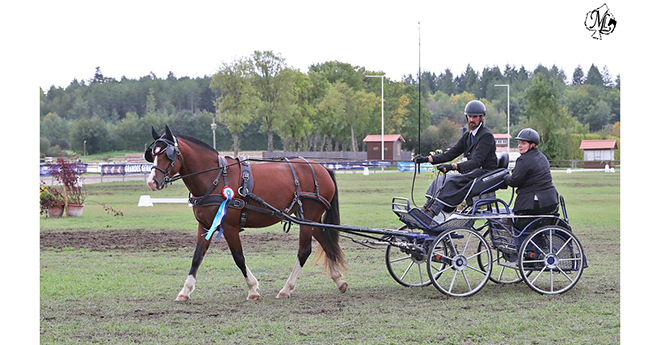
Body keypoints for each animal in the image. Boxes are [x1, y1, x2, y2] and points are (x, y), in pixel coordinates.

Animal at [146, 125, 348, 300]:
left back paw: (286, 288)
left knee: (304, 251)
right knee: (325, 241)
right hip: (309, 219)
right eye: (152, 154)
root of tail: (322, 168)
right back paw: (339, 281)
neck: (215, 178)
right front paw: (185, 291)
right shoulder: (205, 225)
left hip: (308, 217)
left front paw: (252, 289)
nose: (152, 182)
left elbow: (238, 257)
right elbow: (197, 257)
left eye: (167, 154)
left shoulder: (229, 226)